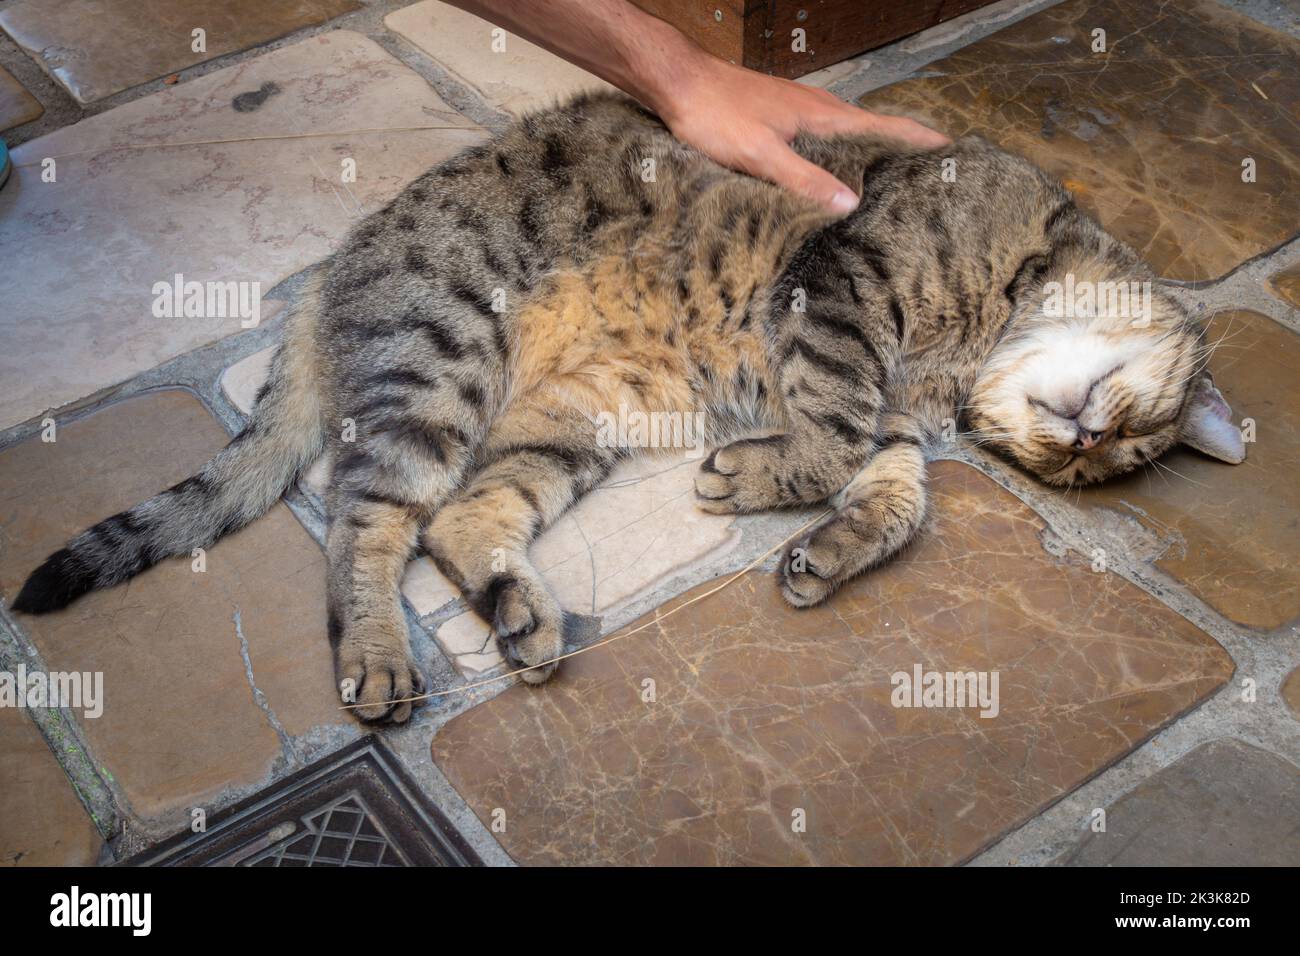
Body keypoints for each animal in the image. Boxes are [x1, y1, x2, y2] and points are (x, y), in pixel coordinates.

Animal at [15, 91, 1242, 717]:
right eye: (1128, 430)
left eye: (1093, 466)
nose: (1083, 438)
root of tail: (330, 270)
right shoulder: (842, 287)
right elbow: (840, 432)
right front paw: (767, 474)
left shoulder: (893, 411)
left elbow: (893, 495)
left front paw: (818, 537)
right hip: (440, 359)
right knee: (368, 523)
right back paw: (379, 656)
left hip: (569, 421)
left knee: (462, 520)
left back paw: (519, 612)